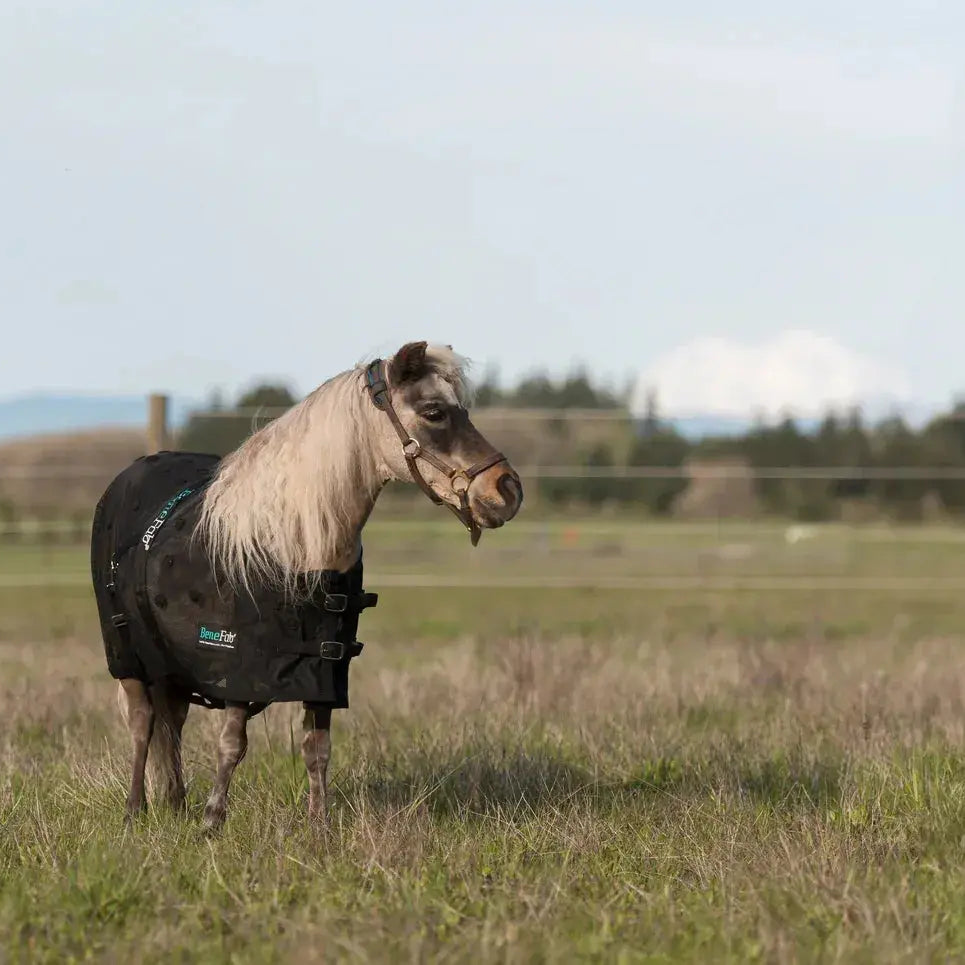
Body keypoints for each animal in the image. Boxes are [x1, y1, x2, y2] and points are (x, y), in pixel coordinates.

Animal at [90, 341, 523, 829]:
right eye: (434, 412)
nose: (507, 490)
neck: (295, 545)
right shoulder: (243, 671)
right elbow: (231, 744)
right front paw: (213, 821)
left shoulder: (324, 672)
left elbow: (317, 750)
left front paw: (320, 826)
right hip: (129, 657)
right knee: (142, 723)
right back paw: (135, 810)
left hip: (170, 666)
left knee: (173, 723)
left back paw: (176, 803)